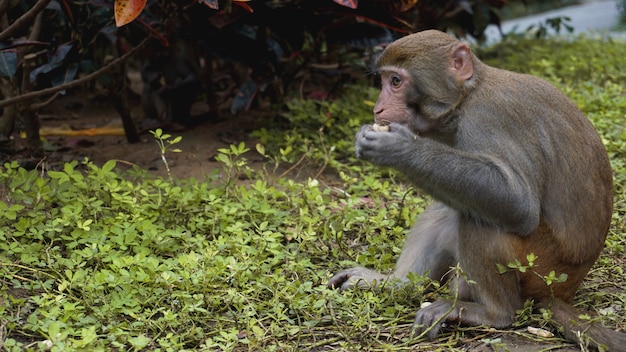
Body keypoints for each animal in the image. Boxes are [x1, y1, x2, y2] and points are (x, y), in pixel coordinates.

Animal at [324, 31, 620, 352]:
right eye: (384, 80)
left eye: (396, 81)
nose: (378, 108)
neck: (468, 96)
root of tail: (563, 292)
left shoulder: (489, 118)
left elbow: (518, 204)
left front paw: (399, 148)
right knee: (451, 207)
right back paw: (397, 284)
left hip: (540, 267)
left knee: (483, 219)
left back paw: (495, 314)